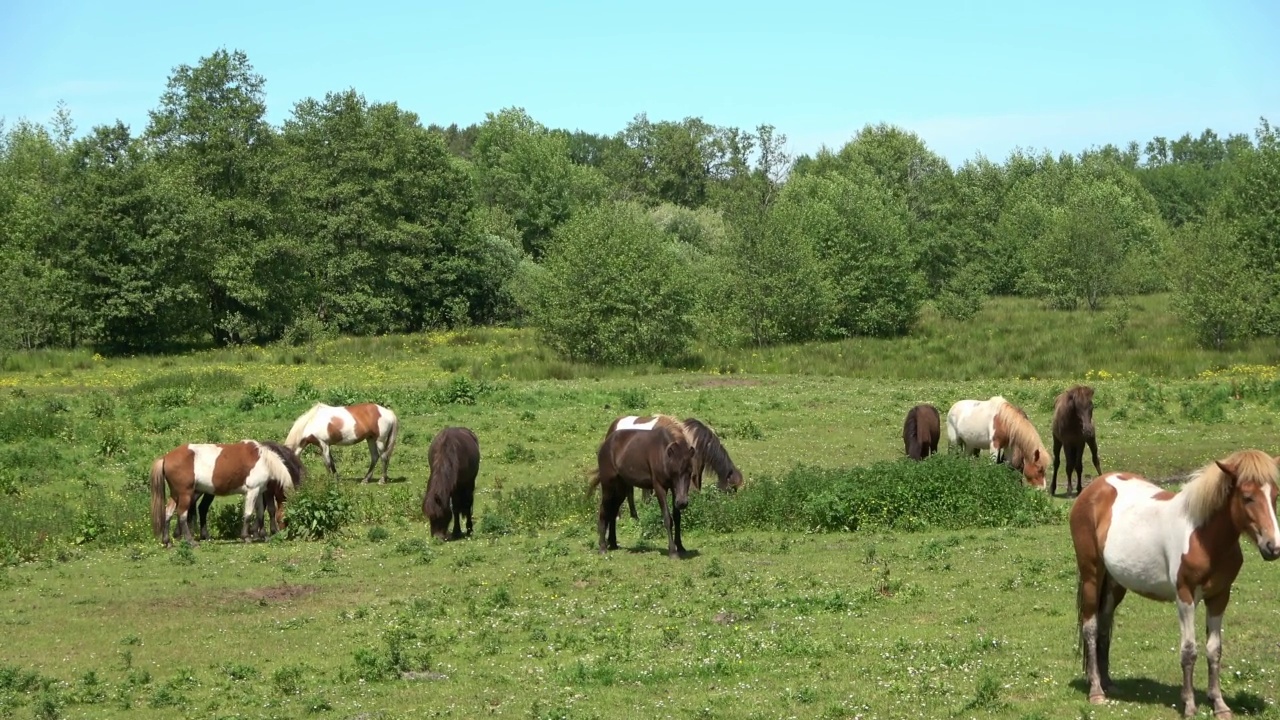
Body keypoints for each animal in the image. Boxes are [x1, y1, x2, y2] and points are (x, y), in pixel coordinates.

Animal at [149, 438, 302, 543]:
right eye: (287, 517)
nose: (286, 534)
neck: (264, 461)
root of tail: (166, 457)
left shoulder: (259, 491)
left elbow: (260, 513)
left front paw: (263, 535)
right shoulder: (252, 490)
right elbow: (249, 514)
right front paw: (246, 536)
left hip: (176, 495)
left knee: (168, 512)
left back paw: (167, 541)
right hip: (185, 494)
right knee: (182, 514)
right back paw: (191, 541)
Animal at [591, 412, 701, 558]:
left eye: (690, 473)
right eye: (674, 472)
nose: (682, 502)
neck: (663, 453)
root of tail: (606, 443)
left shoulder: (674, 489)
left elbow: (677, 518)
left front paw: (681, 547)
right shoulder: (659, 487)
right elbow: (667, 518)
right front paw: (673, 551)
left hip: (620, 488)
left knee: (613, 511)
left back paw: (613, 543)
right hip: (608, 485)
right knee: (604, 510)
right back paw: (603, 547)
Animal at [1070, 445, 1280, 712]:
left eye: (1275, 495)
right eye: (1247, 497)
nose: (1273, 547)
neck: (1203, 537)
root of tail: (1093, 488)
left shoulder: (1220, 597)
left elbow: (1214, 650)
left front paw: (1219, 704)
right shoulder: (1185, 597)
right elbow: (1189, 650)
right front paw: (1189, 704)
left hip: (1114, 584)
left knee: (1105, 626)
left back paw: (1108, 683)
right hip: (1092, 575)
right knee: (1091, 627)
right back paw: (1096, 691)